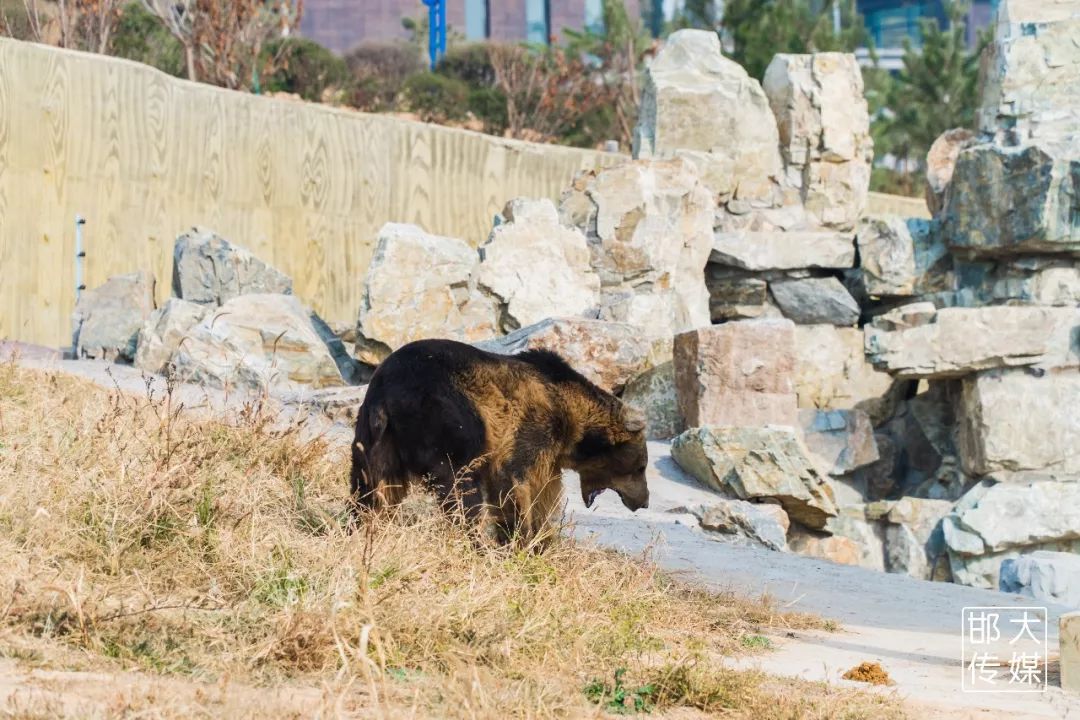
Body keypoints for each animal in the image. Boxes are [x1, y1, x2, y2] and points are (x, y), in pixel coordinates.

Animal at [349, 338, 643, 539]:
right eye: (640, 468)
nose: (643, 501)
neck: (571, 417)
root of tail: (386, 392)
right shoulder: (531, 427)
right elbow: (515, 481)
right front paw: (522, 537)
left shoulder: (548, 455)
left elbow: (544, 494)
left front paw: (540, 537)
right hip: (447, 419)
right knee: (459, 488)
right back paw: (475, 541)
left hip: (376, 437)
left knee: (372, 486)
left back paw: (362, 525)